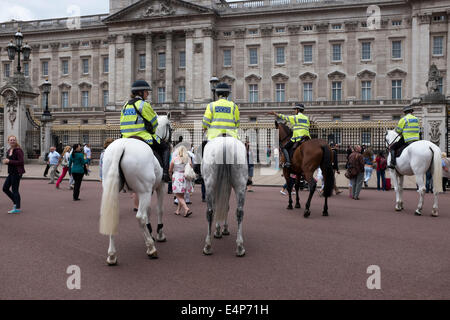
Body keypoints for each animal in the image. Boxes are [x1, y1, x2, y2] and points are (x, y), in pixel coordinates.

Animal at [99, 115, 171, 264]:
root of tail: (121, 147)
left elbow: (149, 210)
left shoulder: (147, 190)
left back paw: (112, 255)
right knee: (140, 217)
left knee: (112, 215)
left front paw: (150, 232)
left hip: (114, 189)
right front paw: (159, 234)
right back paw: (151, 248)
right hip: (144, 191)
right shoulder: (159, 186)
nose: (170, 141)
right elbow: (159, 210)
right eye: (170, 127)